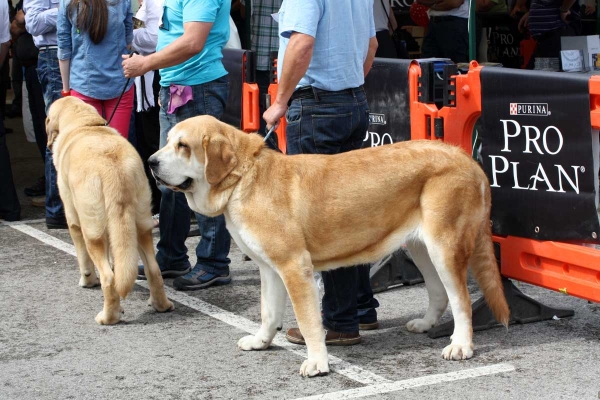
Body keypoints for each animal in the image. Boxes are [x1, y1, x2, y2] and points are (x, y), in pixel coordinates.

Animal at [46, 96, 173, 324]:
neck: (85, 125)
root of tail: (113, 170)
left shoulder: (74, 221)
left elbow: (84, 260)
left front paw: (87, 281)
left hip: (93, 231)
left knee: (109, 278)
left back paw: (107, 317)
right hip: (140, 225)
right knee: (153, 269)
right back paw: (161, 305)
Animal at [148, 115, 508, 378]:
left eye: (183, 146)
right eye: (167, 141)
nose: (151, 162)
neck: (243, 177)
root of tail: (465, 157)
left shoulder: (295, 267)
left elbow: (309, 322)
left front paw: (317, 363)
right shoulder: (270, 268)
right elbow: (268, 312)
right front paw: (262, 342)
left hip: (444, 246)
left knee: (461, 299)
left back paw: (460, 346)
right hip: (421, 247)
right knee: (438, 292)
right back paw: (426, 324)